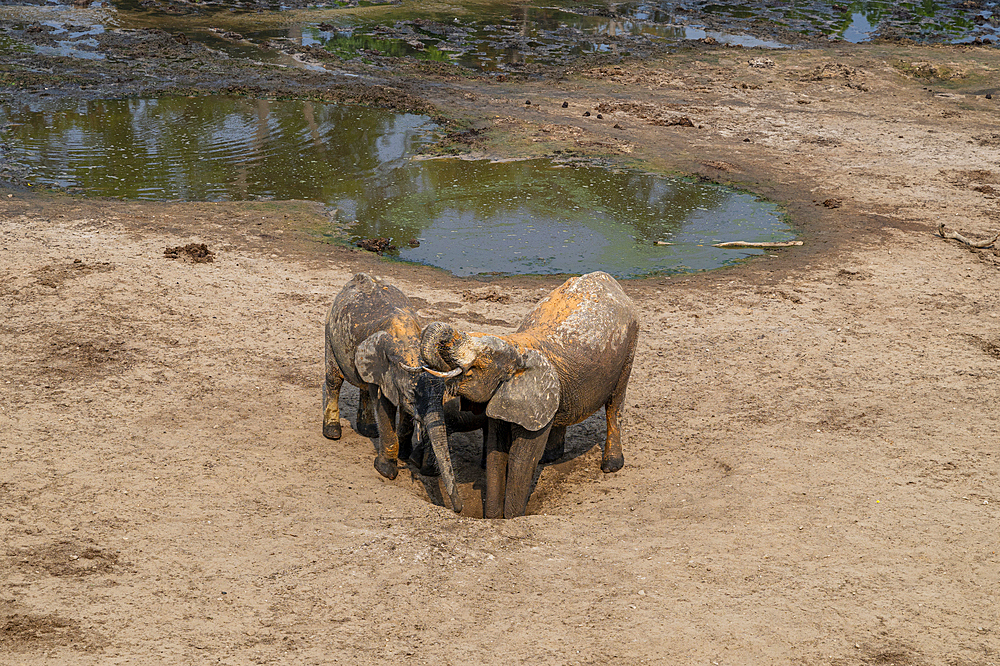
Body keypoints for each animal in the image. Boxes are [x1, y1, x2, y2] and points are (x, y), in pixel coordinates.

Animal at [418, 270, 636, 520]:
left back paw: (611, 465)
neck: (516, 348)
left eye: (481, 360)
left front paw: (512, 518)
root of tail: (607, 278)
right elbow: (496, 454)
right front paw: (493, 518)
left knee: (615, 404)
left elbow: (520, 458)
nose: (459, 509)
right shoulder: (504, 395)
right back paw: (550, 458)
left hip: (629, 345)